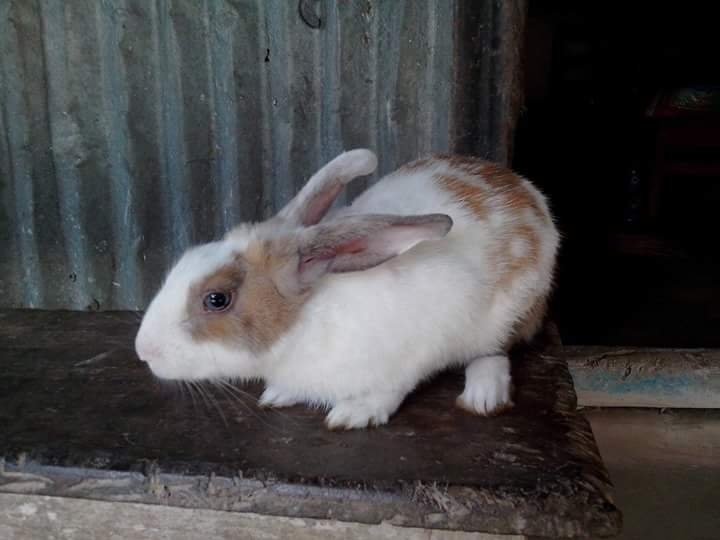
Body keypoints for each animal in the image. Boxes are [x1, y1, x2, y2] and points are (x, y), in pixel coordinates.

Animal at [135, 149, 559, 430]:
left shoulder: (416, 349)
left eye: (217, 299)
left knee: (493, 352)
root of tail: (524, 190)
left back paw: (483, 396)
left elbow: (391, 388)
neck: (303, 325)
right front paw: (280, 394)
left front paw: (355, 414)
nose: (143, 352)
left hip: (510, 312)